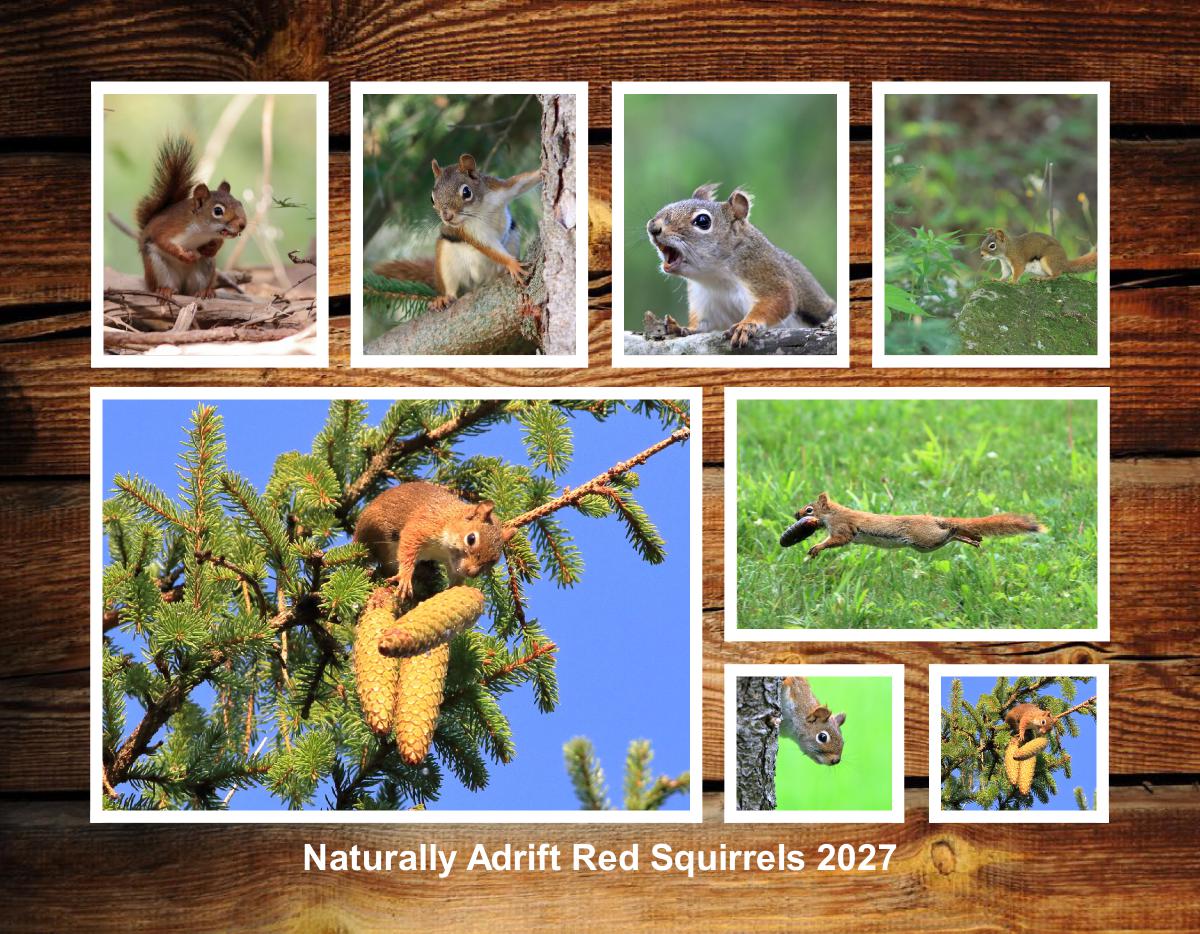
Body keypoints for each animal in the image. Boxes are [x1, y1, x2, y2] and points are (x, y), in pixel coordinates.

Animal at [136, 136, 247, 299]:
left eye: (239, 203)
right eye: (218, 211)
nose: (243, 224)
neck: (201, 231)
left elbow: (218, 242)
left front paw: (212, 248)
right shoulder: (170, 227)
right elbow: (163, 240)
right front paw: (184, 255)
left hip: (205, 268)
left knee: (193, 289)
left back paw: (204, 291)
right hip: (156, 266)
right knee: (161, 284)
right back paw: (165, 289)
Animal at [354, 481, 515, 602]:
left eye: (494, 561)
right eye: (471, 539)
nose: (472, 573)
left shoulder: (452, 564)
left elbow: (456, 577)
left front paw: (450, 591)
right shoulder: (424, 526)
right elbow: (408, 546)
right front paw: (405, 577)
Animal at [374, 153, 541, 310]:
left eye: (466, 192)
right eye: (432, 198)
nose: (446, 217)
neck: (479, 208)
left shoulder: (498, 189)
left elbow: (519, 183)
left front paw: (541, 171)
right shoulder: (469, 231)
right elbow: (487, 246)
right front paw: (513, 264)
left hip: (512, 238)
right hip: (446, 261)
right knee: (451, 288)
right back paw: (444, 298)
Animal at [645, 184, 835, 348]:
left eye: (702, 221)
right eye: (665, 206)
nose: (653, 227)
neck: (716, 277)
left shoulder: (766, 272)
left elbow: (778, 300)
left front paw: (746, 325)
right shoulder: (704, 301)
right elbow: (702, 325)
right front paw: (682, 328)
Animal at [789, 492, 1046, 559]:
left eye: (809, 509)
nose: (795, 514)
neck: (831, 514)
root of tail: (933, 519)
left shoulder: (843, 526)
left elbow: (838, 539)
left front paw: (816, 548)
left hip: (924, 539)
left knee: (948, 534)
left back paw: (960, 531)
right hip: (923, 546)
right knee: (951, 536)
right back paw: (972, 538)